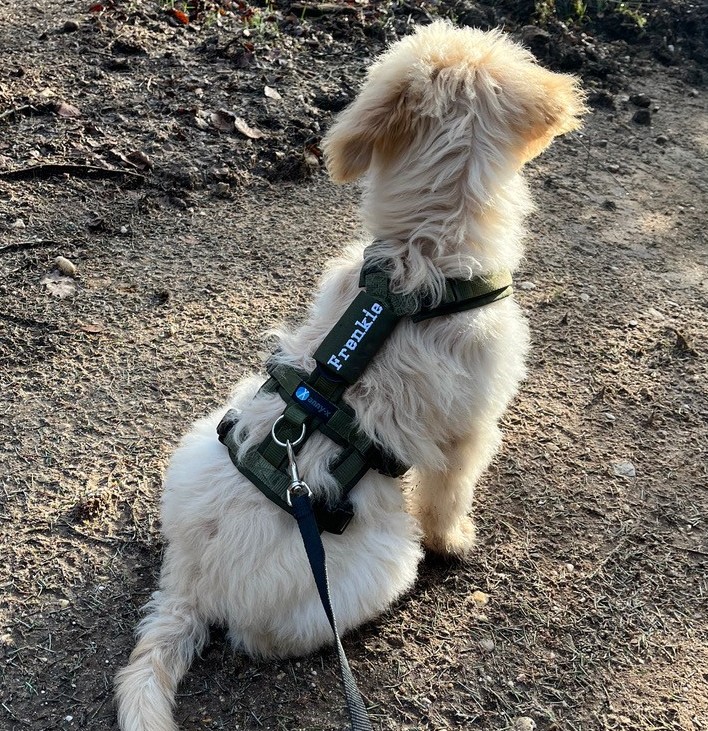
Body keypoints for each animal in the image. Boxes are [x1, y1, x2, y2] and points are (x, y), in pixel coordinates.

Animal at [115, 22, 580, 731]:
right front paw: (458, 541)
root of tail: (191, 582)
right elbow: (448, 497)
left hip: (200, 437)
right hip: (381, 565)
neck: (422, 254)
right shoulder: (470, 434)